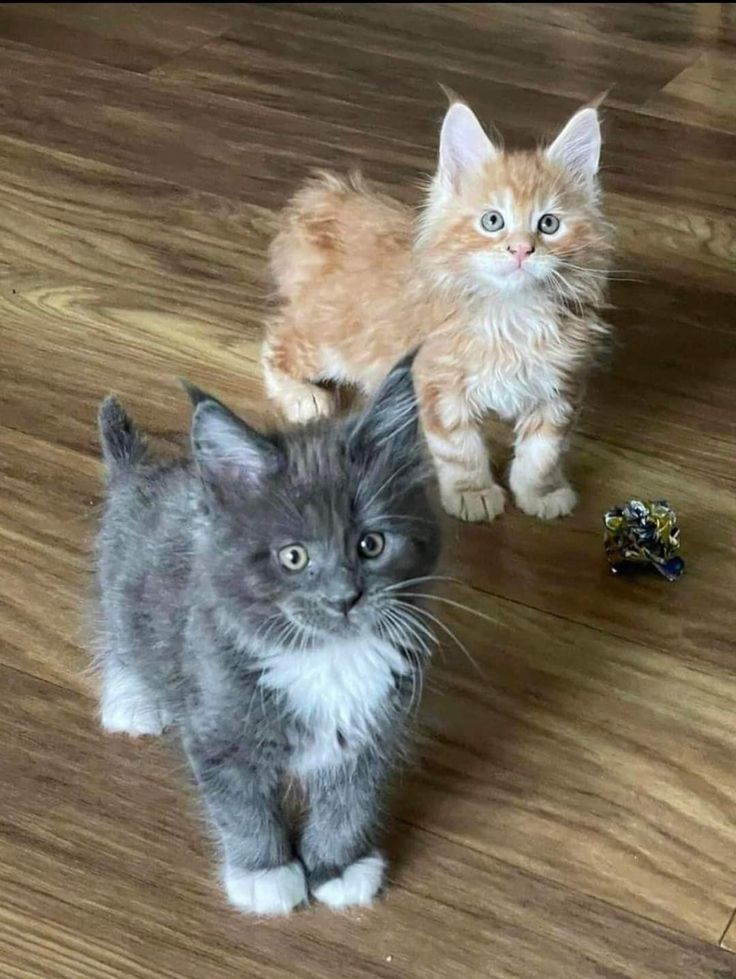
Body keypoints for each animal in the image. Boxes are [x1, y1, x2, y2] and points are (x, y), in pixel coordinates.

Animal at [93, 360, 436, 920]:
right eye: (293, 557)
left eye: (371, 544)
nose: (345, 598)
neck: (326, 658)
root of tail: (141, 473)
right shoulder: (217, 727)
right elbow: (240, 806)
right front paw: (265, 874)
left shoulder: (374, 728)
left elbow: (351, 801)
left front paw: (338, 867)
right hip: (123, 587)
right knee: (120, 633)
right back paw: (132, 701)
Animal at [262, 100, 612, 524]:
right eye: (492, 220)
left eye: (549, 224)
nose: (521, 250)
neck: (511, 314)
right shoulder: (439, 386)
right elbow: (461, 451)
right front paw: (473, 493)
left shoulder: (559, 387)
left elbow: (541, 455)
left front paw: (541, 493)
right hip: (334, 344)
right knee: (277, 340)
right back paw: (302, 397)